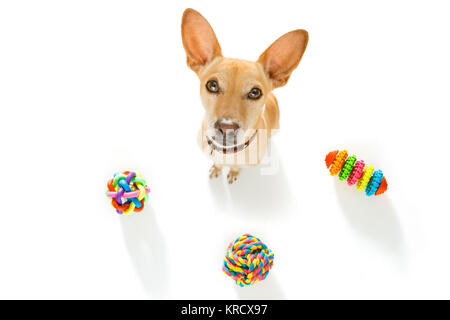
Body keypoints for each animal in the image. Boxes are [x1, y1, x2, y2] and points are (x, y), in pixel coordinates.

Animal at [181, 8, 308, 182]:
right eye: (212, 85)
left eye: (255, 92)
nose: (226, 128)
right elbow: (217, 163)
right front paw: (216, 168)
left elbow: (236, 167)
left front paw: (233, 172)